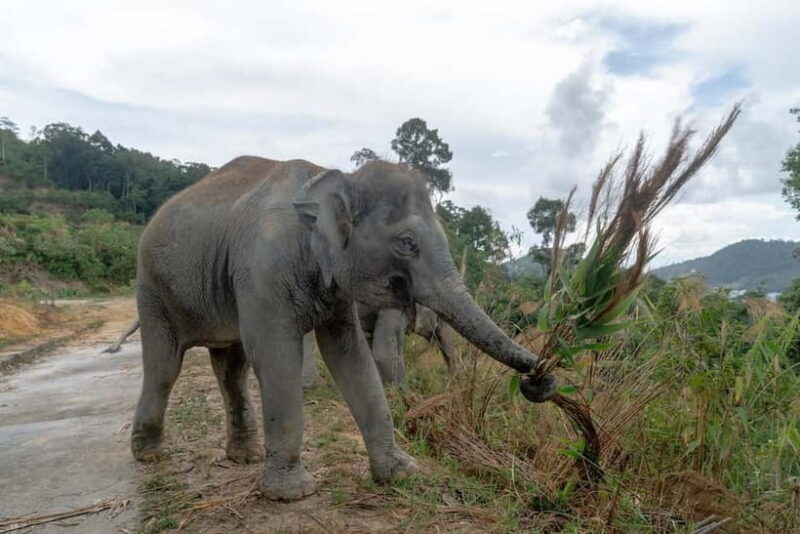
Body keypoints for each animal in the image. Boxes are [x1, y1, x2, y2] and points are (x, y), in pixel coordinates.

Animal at [129, 156, 556, 501]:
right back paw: (149, 454)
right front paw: (292, 494)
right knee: (165, 367)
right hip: (151, 287)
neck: (331, 177)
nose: (540, 378)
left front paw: (401, 473)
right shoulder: (263, 269)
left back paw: (244, 456)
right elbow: (276, 355)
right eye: (406, 242)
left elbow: (351, 355)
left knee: (231, 369)